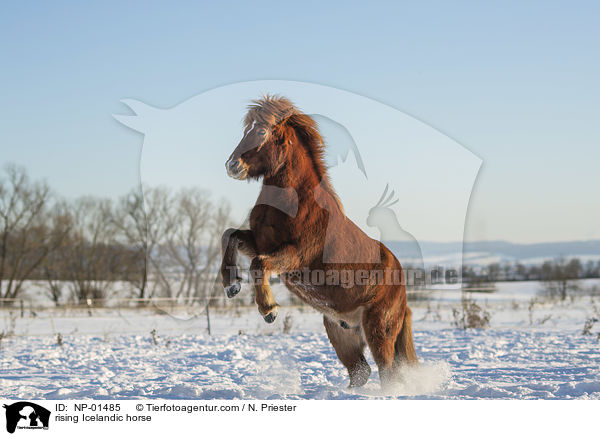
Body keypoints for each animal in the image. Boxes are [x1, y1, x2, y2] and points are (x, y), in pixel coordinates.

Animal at [221, 96, 418, 388]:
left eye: (261, 131)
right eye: (247, 130)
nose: (232, 166)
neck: (295, 202)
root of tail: (403, 290)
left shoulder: (295, 256)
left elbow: (259, 264)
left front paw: (269, 310)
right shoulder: (260, 242)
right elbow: (229, 235)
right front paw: (231, 285)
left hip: (378, 330)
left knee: (388, 372)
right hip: (341, 332)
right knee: (360, 371)